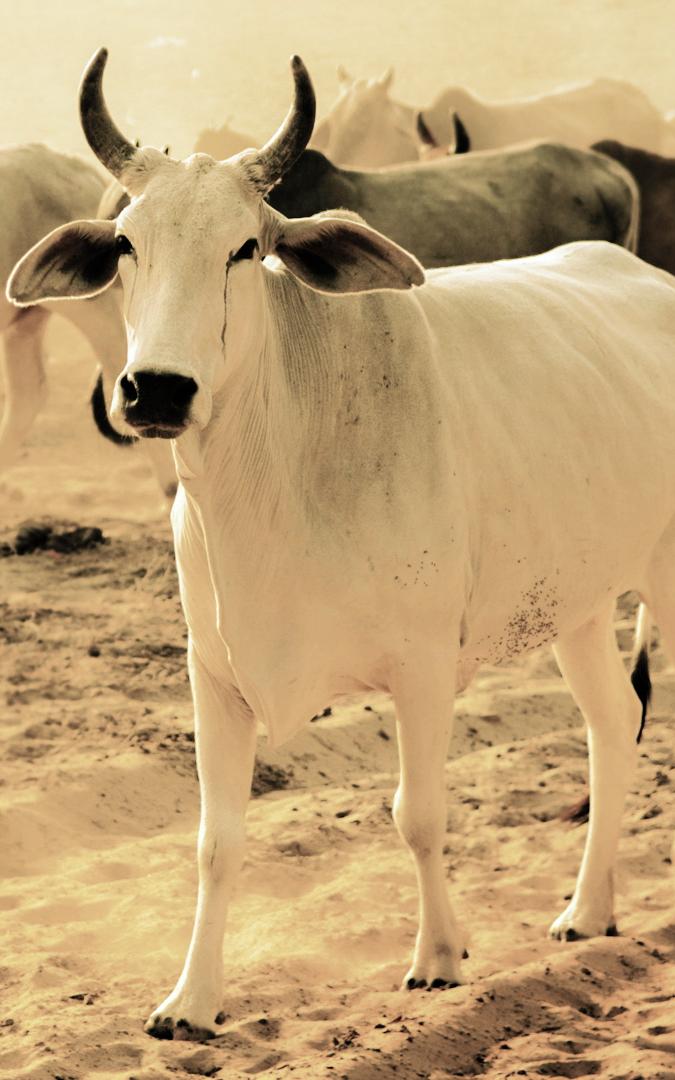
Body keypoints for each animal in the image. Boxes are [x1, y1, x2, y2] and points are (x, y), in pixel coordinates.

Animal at [9, 46, 673, 1041]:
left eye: (246, 247)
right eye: (126, 244)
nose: (155, 389)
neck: (275, 480)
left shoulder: (423, 667)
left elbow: (418, 815)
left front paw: (438, 958)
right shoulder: (214, 673)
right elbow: (215, 841)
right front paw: (190, 1001)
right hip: (579, 606)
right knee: (611, 727)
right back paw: (587, 910)